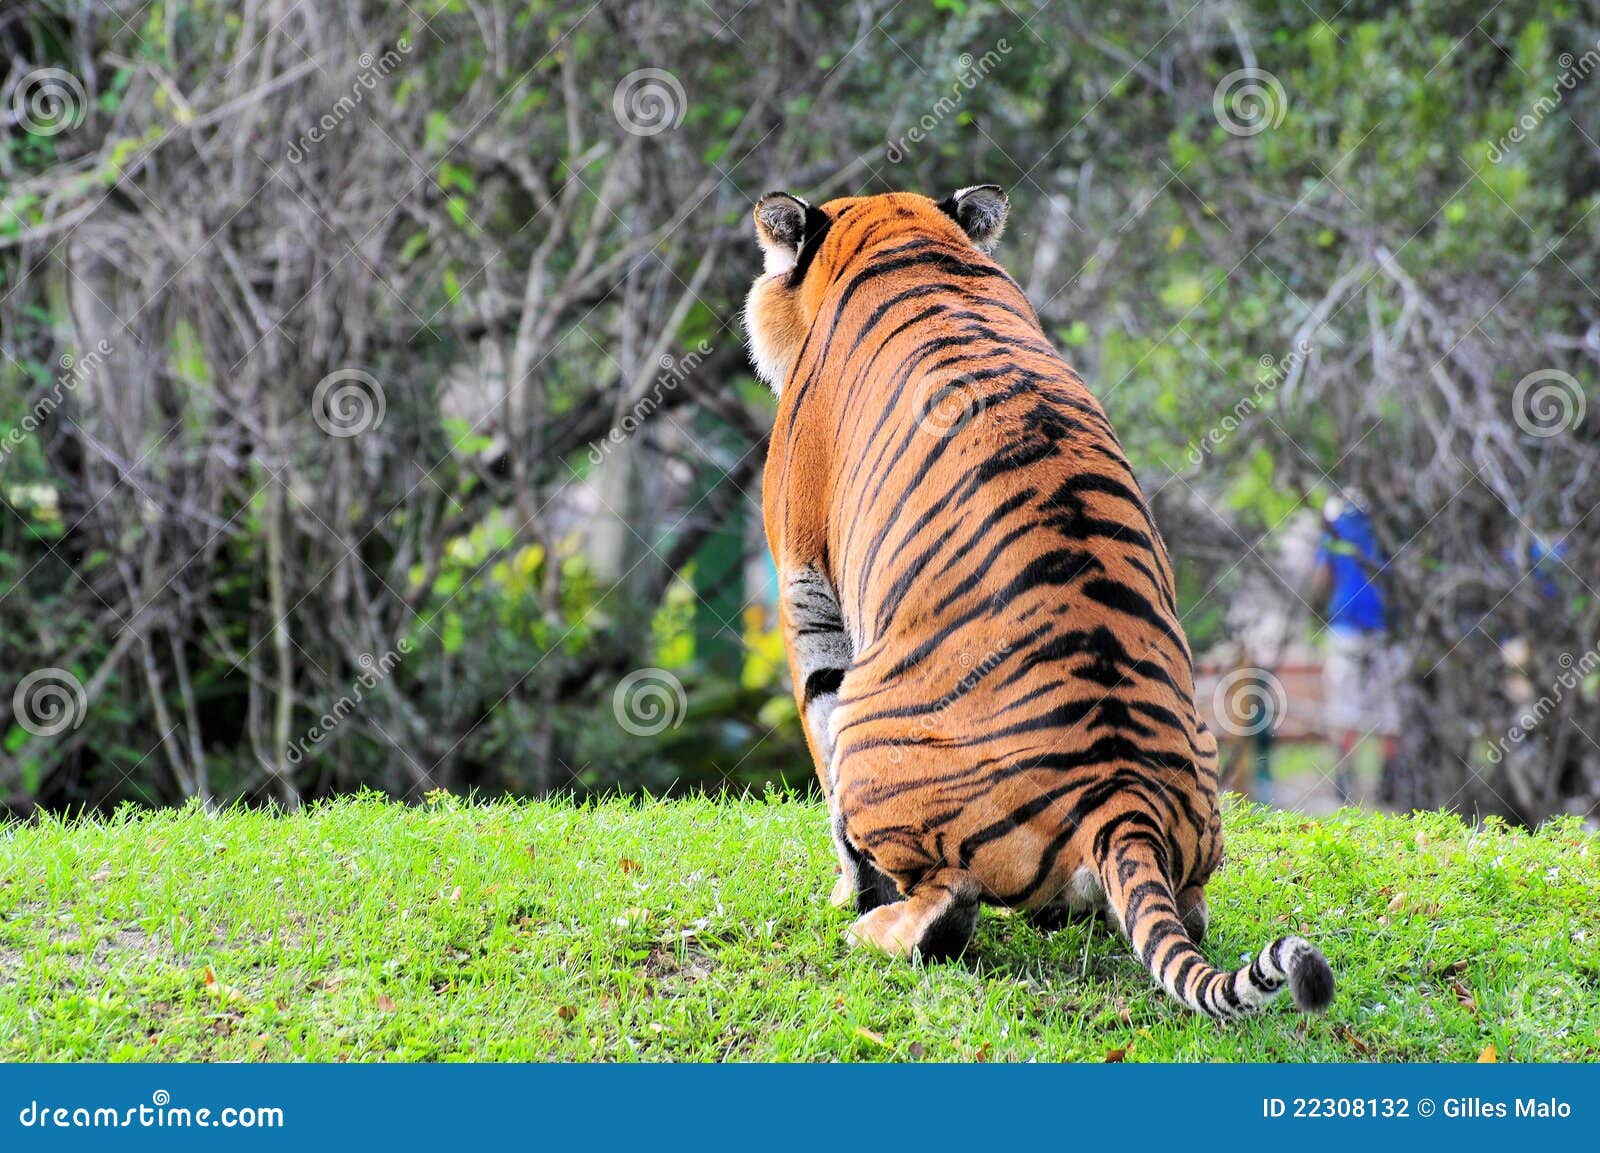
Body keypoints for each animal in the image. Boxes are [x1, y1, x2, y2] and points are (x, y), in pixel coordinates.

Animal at [748, 184, 1337, 1023]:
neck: (903, 237)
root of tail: (1122, 795)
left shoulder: (803, 580)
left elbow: (818, 735)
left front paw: (848, 892)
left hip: (873, 736)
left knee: (945, 905)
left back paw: (870, 929)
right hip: (1199, 797)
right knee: (1188, 909)